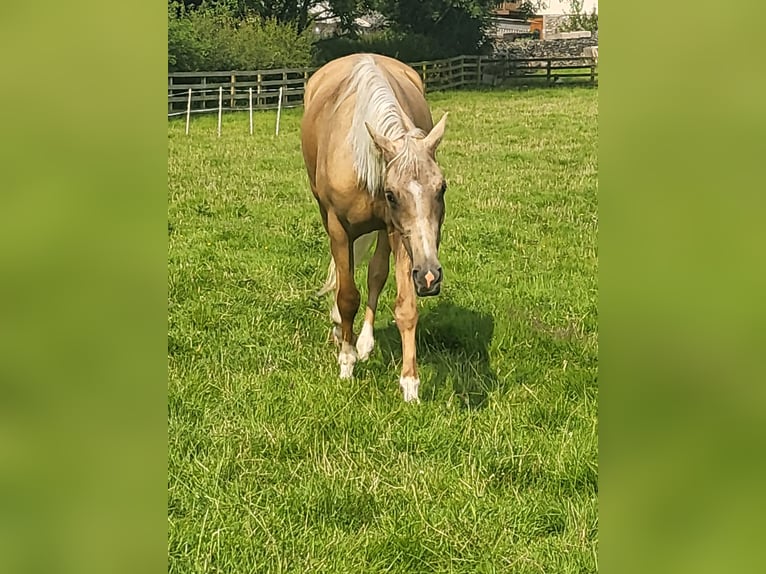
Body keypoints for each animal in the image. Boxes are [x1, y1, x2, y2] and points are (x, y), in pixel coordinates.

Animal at [301, 53, 449, 403]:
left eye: (442, 188)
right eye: (391, 194)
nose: (430, 276)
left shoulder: (400, 234)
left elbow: (404, 305)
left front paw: (410, 383)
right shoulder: (339, 228)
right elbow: (347, 296)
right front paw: (346, 362)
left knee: (376, 274)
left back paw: (365, 342)